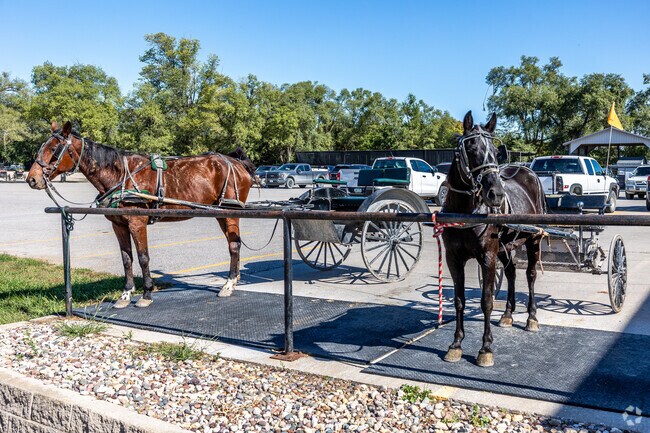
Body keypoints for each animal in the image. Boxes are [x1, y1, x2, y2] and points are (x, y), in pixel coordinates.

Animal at [27, 121, 256, 308]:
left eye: (54, 149)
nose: (32, 179)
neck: (120, 175)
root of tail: (235, 162)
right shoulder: (118, 224)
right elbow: (126, 259)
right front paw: (126, 294)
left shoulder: (137, 222)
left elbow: (143, 257)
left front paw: (146, 294)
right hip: (219, 212)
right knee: (233, 243)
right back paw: (233, 280)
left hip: (230, 212)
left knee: (234, 245)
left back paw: (228, 284)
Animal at [441, 111, 546, 367]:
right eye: (470, 147)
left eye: (495, 149)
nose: (496, 194)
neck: (465, 211)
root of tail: (528, 172)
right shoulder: (453, 258)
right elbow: (459, 300)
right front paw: (456, 344)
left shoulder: (487, 256)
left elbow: (486, 301)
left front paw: (485, 348)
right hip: (505, 246)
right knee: (511, 273)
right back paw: (508, 314)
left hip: (533, 240)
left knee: (530, 275)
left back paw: (531, 317)